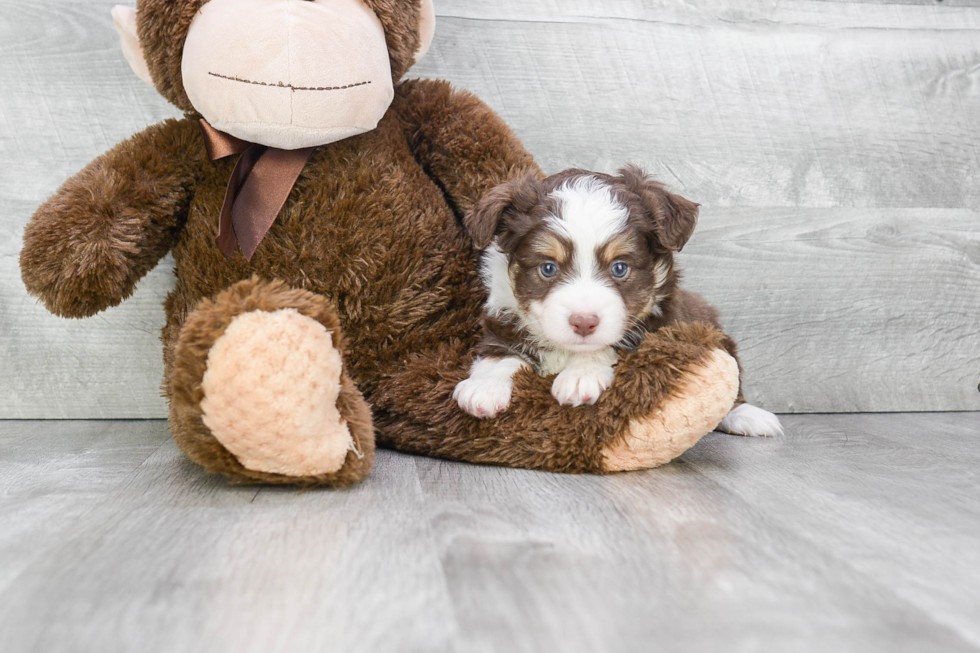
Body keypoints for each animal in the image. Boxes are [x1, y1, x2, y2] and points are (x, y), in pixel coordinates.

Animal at [456, 164, 784, 438]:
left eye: (620, 268)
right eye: (548, 268)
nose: (584, 322)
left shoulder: (658, 325)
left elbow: (614, 346)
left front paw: (581, 376)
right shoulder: (503, 320)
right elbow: (500, 354)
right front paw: (483, 388)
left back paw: (750, 417)